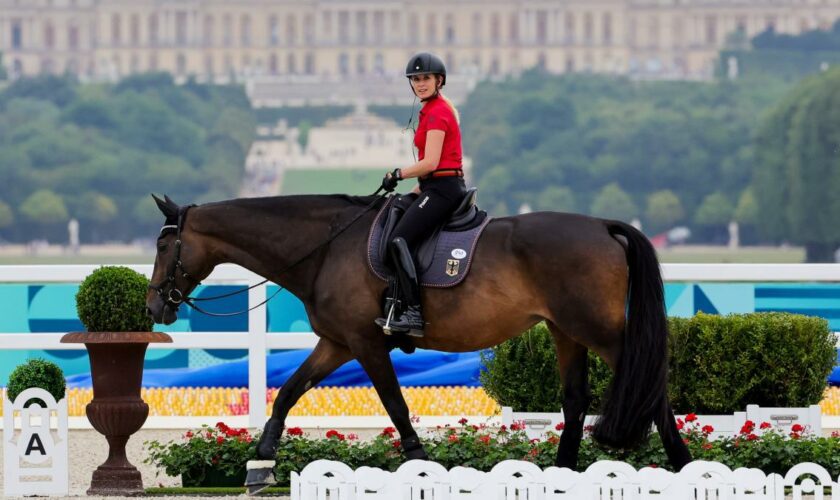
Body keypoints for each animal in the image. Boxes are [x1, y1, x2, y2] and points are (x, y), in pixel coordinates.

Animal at [146, 192, 696, 472]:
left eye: (163, 246)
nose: (154, 305)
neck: (326, 247)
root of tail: (602, 225)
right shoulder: (337, 343)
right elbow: (287, 394)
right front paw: (261, 463)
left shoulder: (365, 343)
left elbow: (394, 404)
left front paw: (417, 460)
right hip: (566, 331)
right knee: (576, 399)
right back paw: (561, 472)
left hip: (599, 330)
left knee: (649, 386)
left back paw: (682, 462)